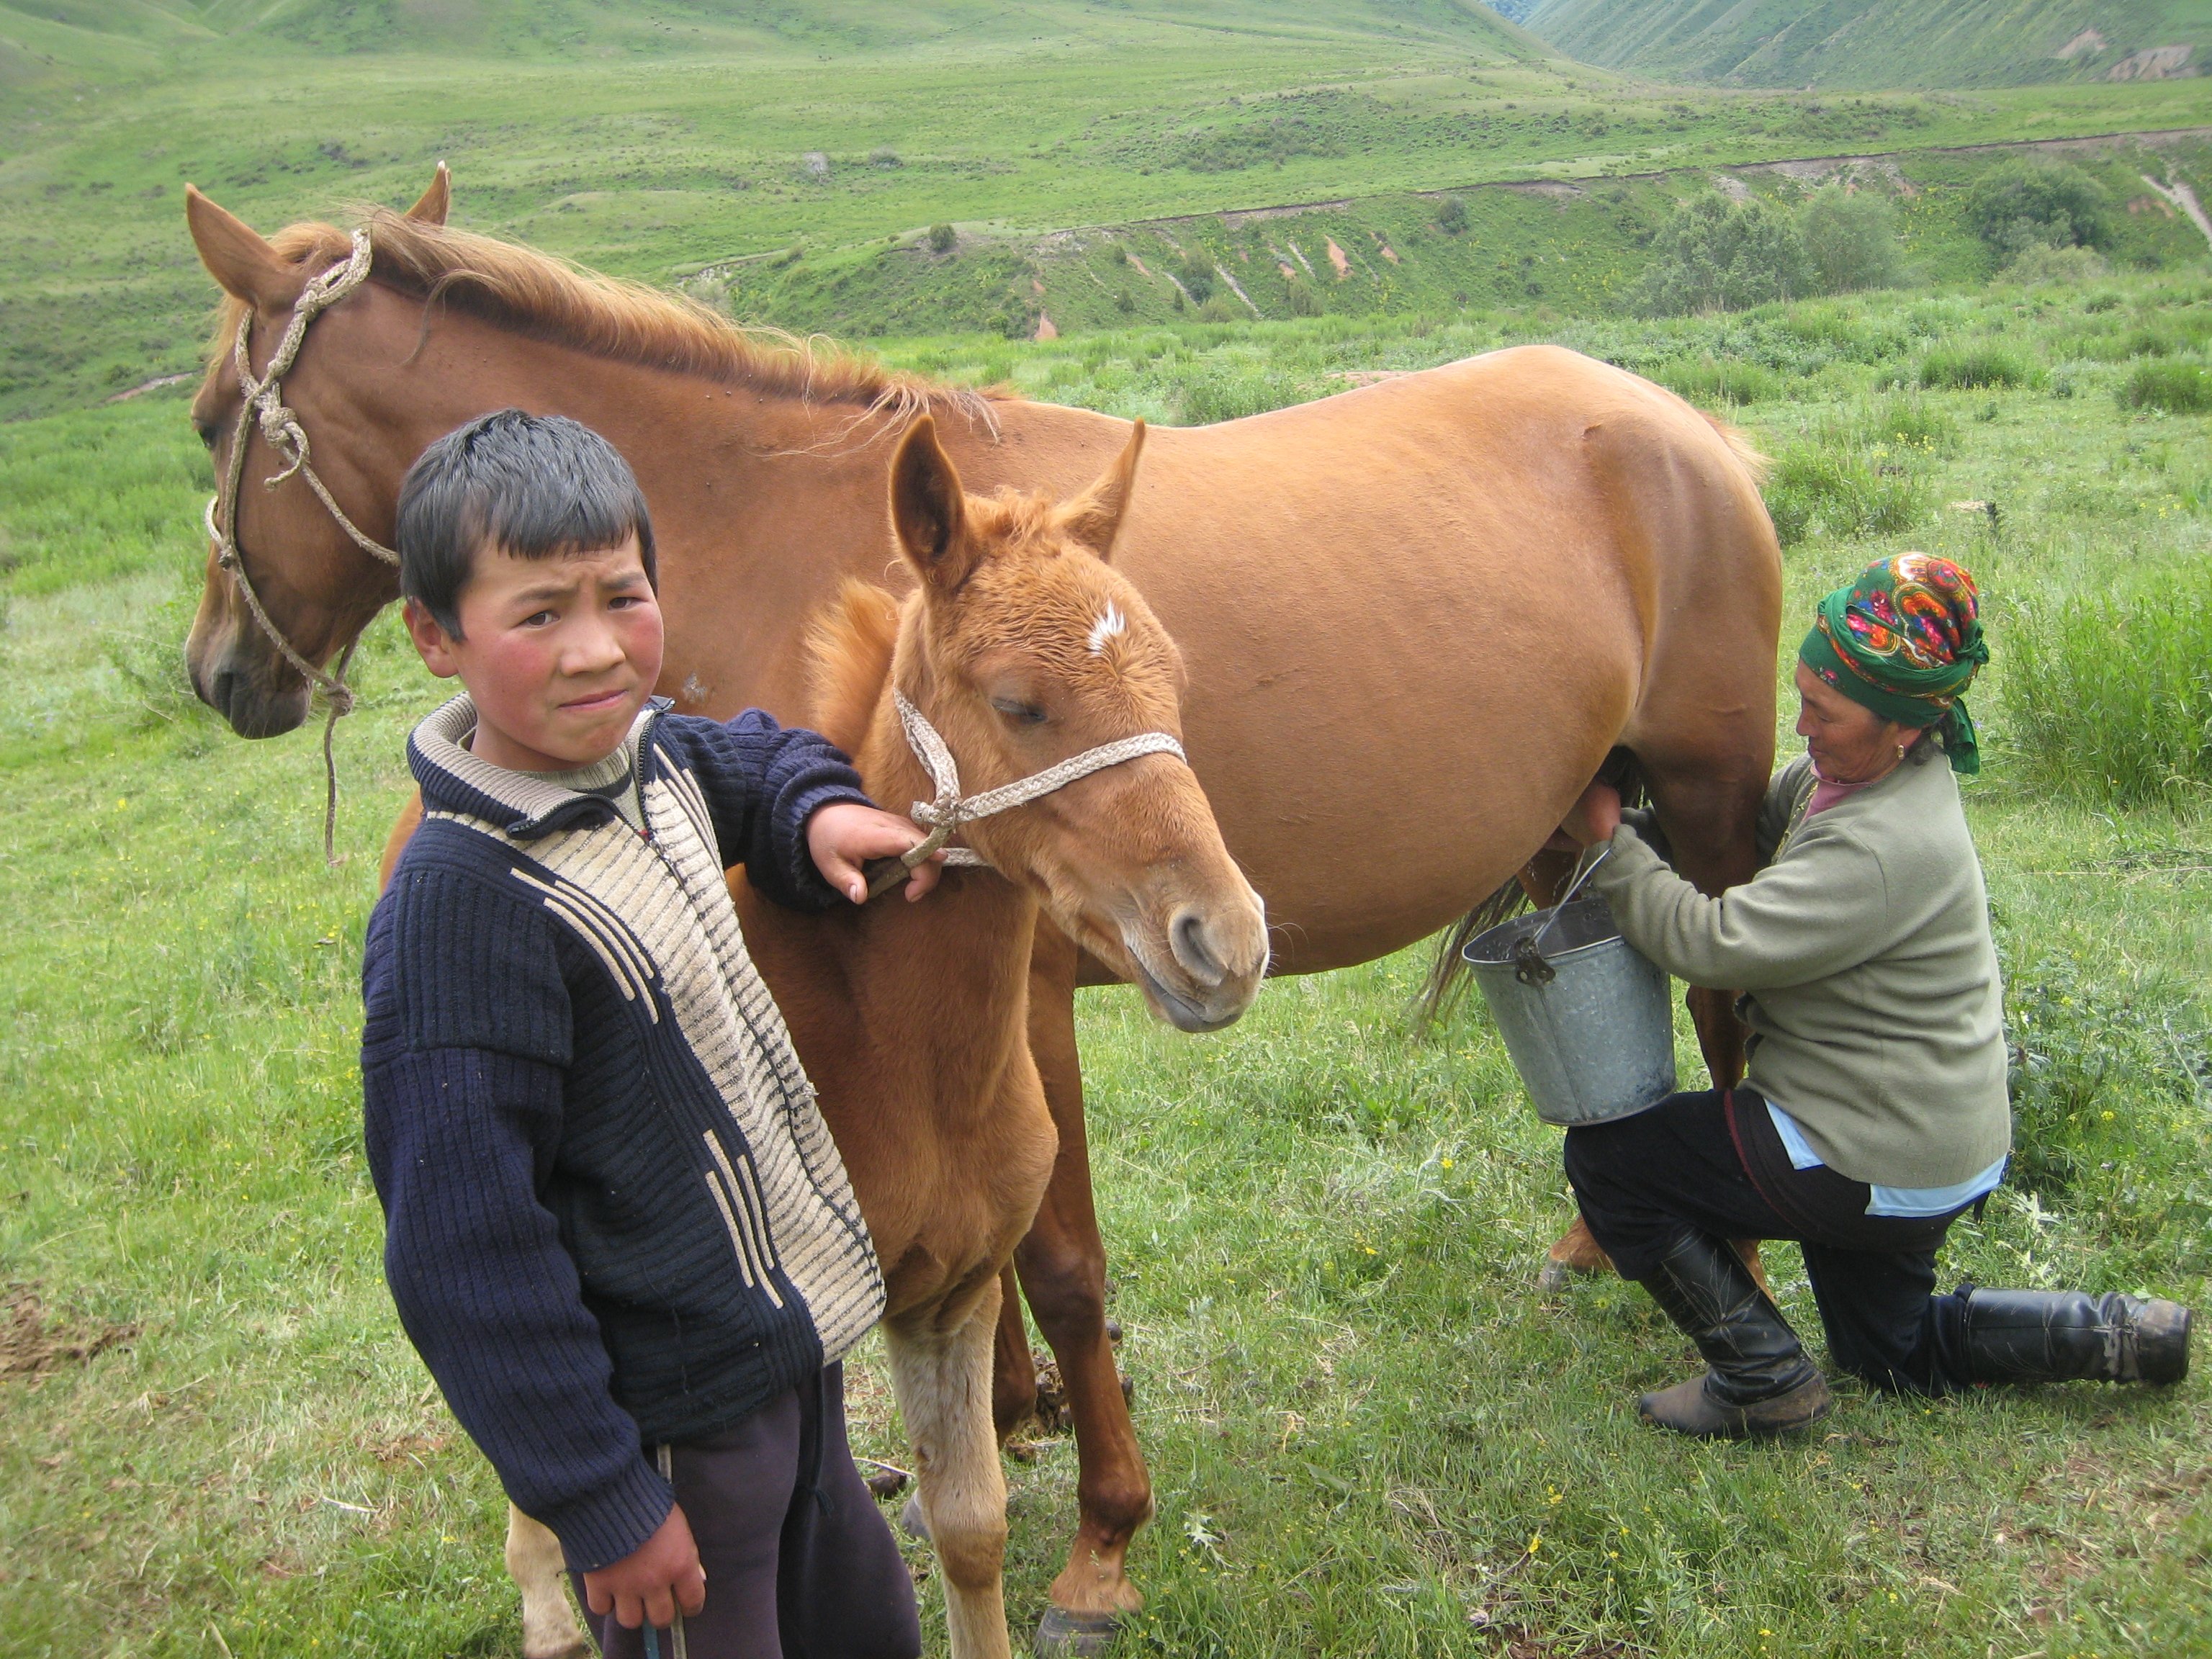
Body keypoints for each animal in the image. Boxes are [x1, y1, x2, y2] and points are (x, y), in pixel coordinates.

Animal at [181, 169, 1782, 1652]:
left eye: (206, 423)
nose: (218, 672)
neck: (764, 528)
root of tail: (1683, 423)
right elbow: (998, 1272)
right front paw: (1015, 1413)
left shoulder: (1031, 992)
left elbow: (1065, 1269)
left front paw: (1101, 1541)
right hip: (1570, 823)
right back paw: (1593, 1245)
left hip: (1705, 804)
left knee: (1729, 1016)